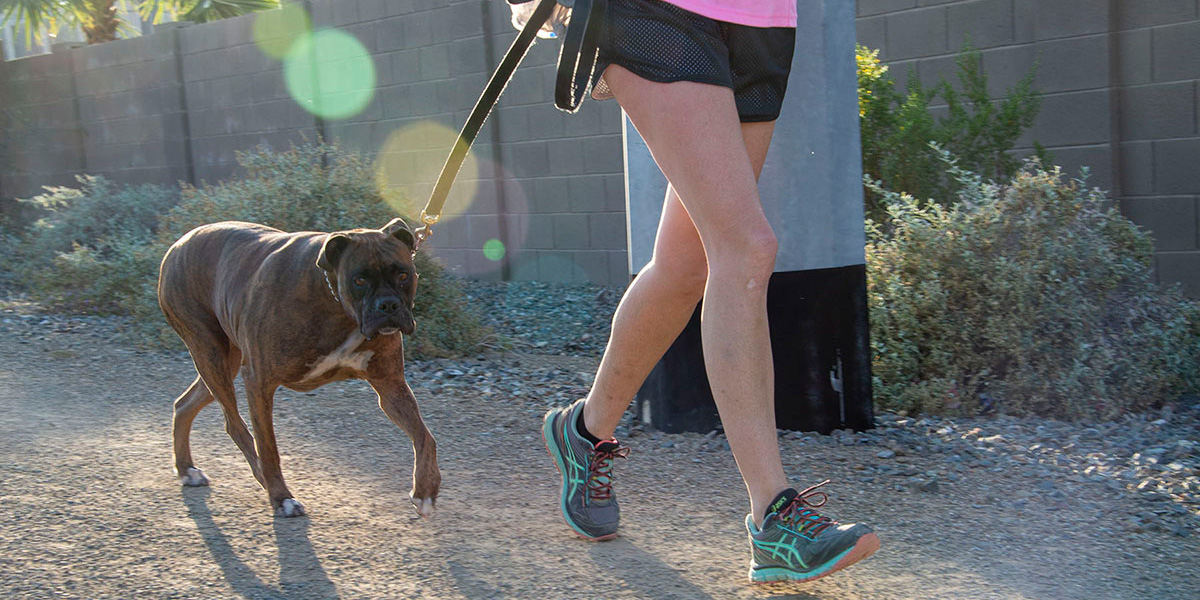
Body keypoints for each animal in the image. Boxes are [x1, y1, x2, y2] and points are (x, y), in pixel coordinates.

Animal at [157, 218, 441, 518]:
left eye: (403, 275)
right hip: (209, 352)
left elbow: (424, 436)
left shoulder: (390, 386)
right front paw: (281, 497)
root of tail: (180, 242)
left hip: (223, 361)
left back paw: (186, 469)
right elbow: (268, 447)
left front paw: (425, 489)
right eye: (360, 280)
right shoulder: (259, 382)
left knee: (185, 404)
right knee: (234, 425)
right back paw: (261, 479)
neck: (336, 305)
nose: (388, 304)